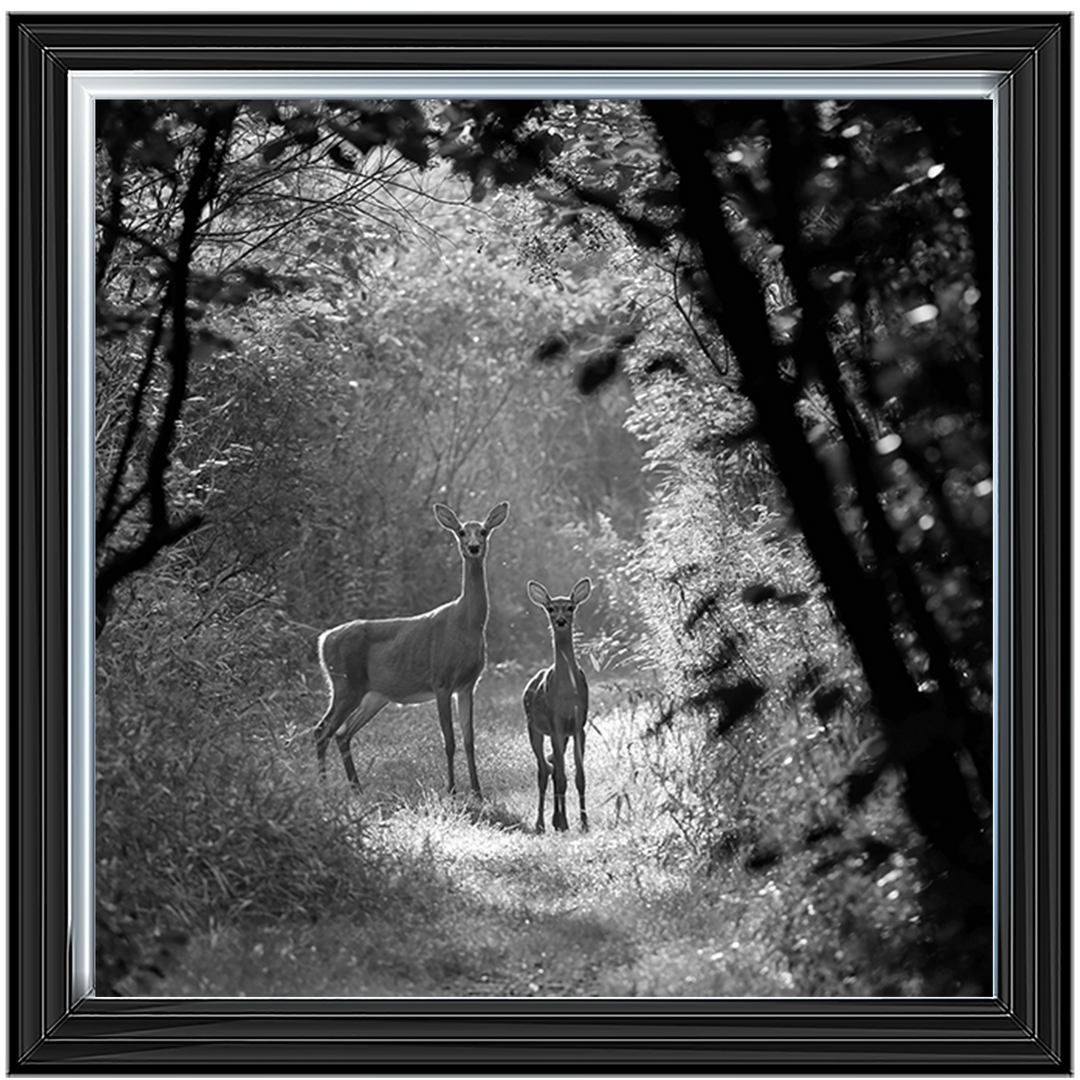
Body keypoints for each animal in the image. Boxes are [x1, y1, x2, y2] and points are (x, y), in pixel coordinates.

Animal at [314, 500, 509, 799]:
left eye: (484, 531)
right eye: (462, 532)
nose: (474, 547)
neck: (466, 624)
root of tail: (323, 640)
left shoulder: (468, 684)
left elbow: (469, 740)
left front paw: (477, 792)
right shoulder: (441, 680)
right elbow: (449, 740)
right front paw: (451, 790)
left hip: (374, 695)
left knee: (342, 733)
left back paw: (356, 788)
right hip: (345, 684)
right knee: (322, 730)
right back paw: (324, 788)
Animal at [522, 577, 592, 833]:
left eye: (570, 607)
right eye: (551, 608)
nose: (561, 620)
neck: (567, 691)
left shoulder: (578, 725)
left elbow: (579, 777)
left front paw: (584, 823)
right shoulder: (555, 725)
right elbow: (561, 776)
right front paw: (564, 823)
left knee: (552, 768)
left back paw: (555, 819)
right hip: (533, 727)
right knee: (544, 770)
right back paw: (542, 823)